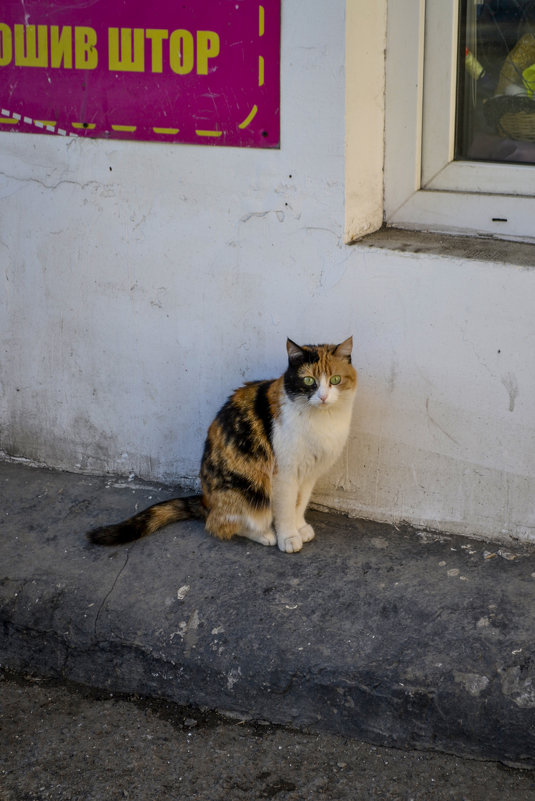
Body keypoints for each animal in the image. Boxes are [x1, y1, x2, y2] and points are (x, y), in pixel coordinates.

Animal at [87, 336, 356, 552]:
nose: (323, 396)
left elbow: (300, 504)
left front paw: (300, 528)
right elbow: (286, 509)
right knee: (220, 524)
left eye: (335, 379)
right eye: (309, 381)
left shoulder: (309, 472)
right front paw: (289, 537)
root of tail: (206, 503)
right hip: (249, 490)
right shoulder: (284, 474)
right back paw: (265, 535)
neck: (322, 420)